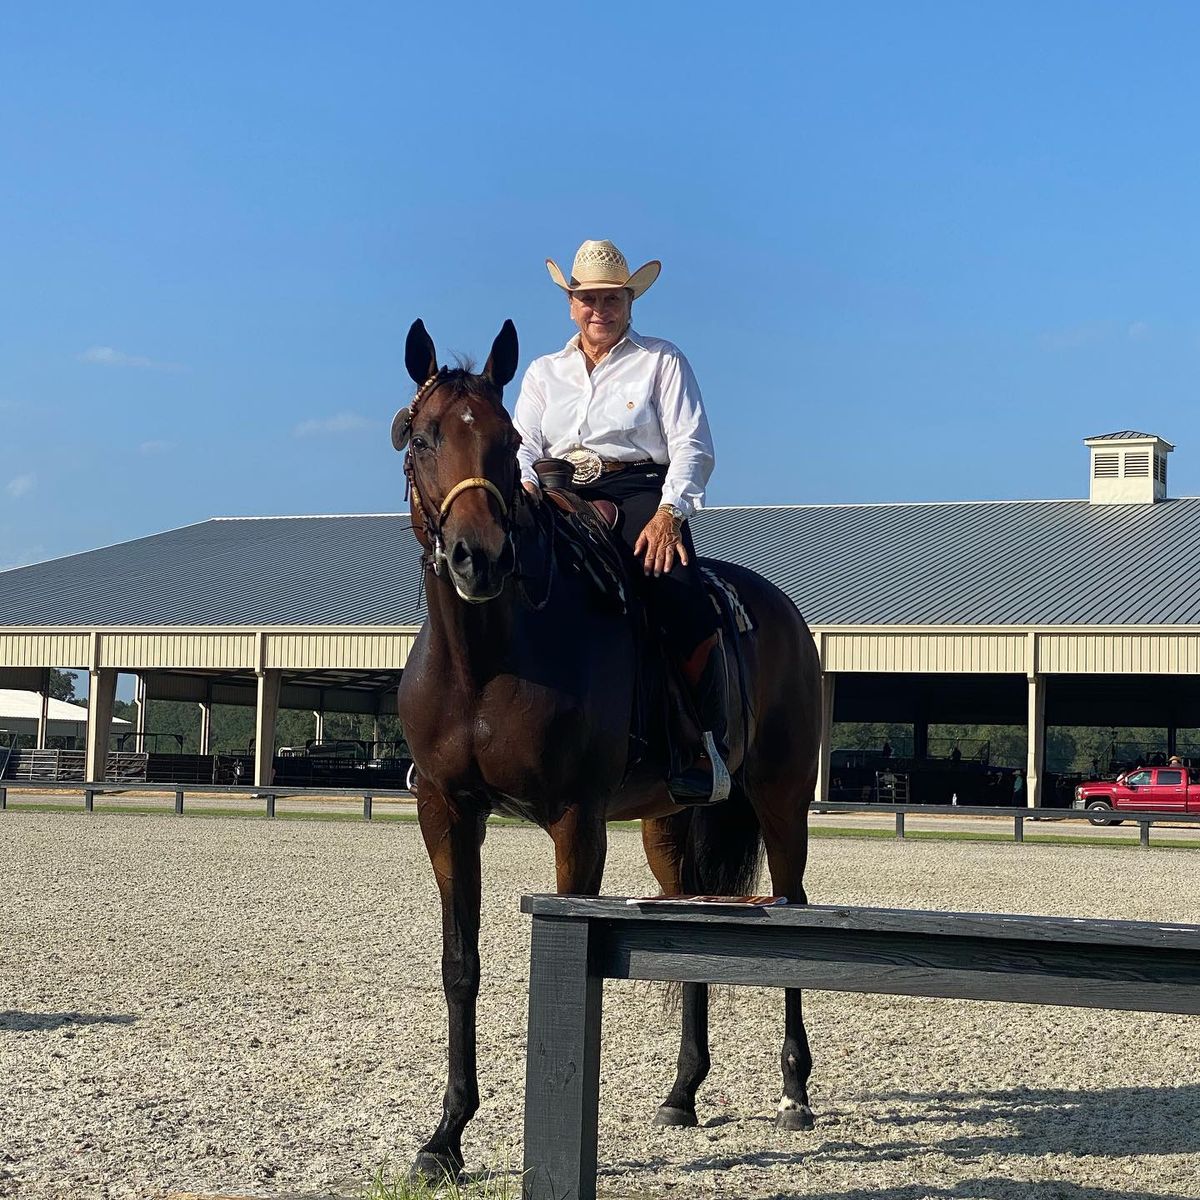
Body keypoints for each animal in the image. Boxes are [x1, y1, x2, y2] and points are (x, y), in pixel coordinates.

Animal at [393, 316, 825, 1180]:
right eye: (423, 439)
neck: (490, 657)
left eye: (505, 441)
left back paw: (794, 1091)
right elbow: (461, 968)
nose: (478, 557)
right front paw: (446, 1136)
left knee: (791, 907)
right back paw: (683, 1092)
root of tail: (782, 609)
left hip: (782, 800)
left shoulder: (576, 821)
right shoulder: (447, 814)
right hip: (669, 823)